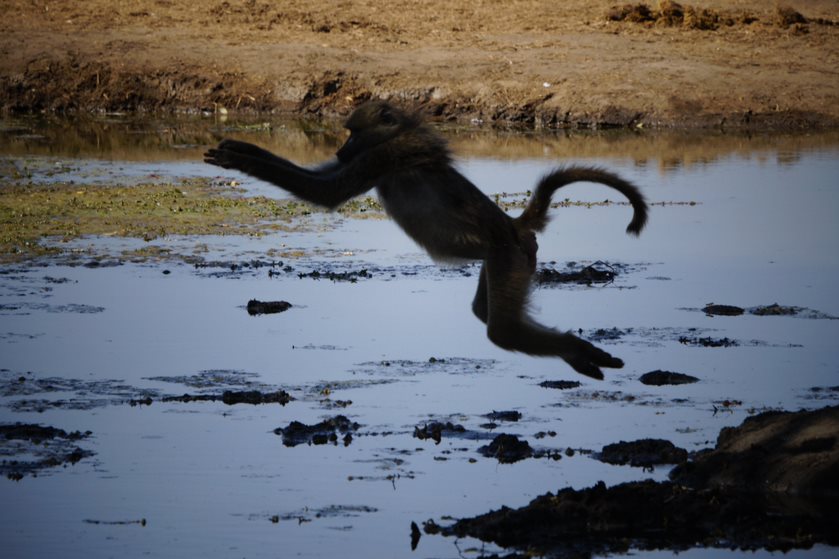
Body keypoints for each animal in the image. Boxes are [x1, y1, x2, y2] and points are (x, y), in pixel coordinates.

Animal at [204, 101, 648, 379]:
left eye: (353, 132)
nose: (342, 149)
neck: (399, 134)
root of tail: (515, 225)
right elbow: (321, 180)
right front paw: (239, 145)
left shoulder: (385, 156)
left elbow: (326, 192)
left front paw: (236, 159)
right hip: (507, 260)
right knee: (486, 312)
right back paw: (579, 357)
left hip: (509, 254)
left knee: (501, 331)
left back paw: (579, 351)